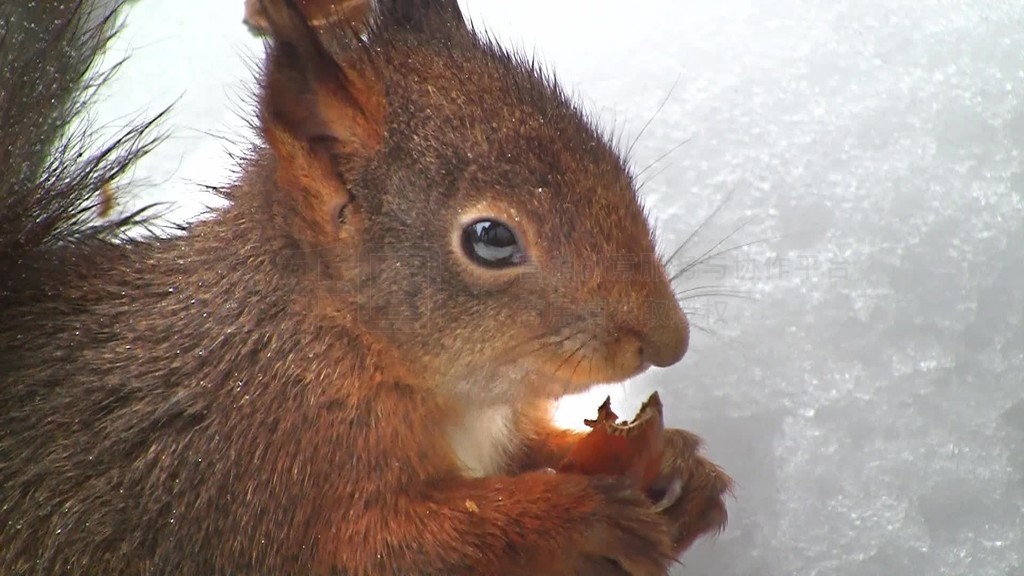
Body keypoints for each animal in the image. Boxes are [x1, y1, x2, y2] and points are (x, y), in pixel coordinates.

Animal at [4, 1, 733, 573]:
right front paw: (575, 518)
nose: (670, 342)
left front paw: (677, 466)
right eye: (491, 238)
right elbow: (387, 548)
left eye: (613, 165)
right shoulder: (272, 474)